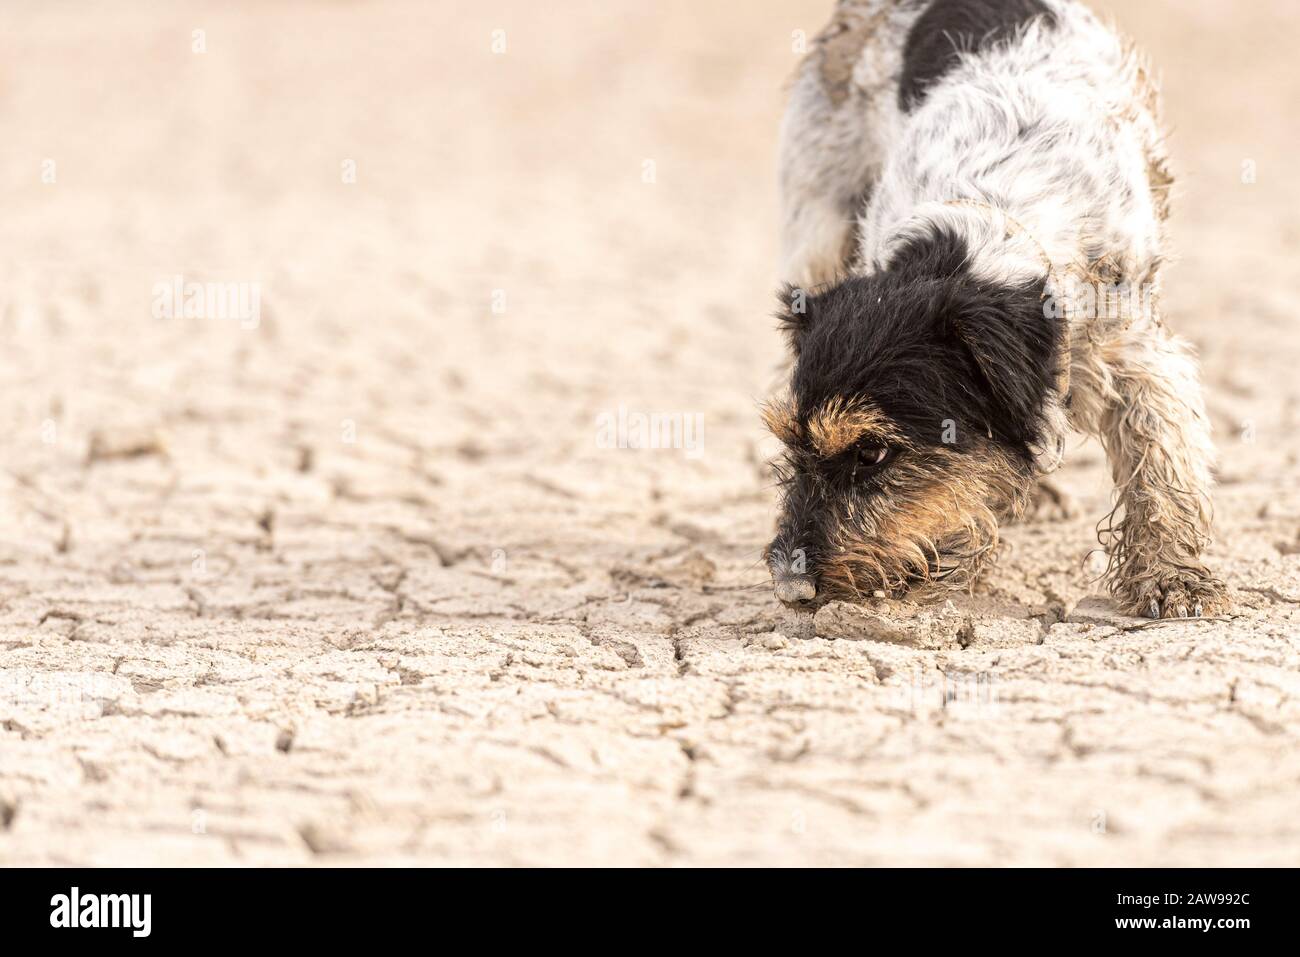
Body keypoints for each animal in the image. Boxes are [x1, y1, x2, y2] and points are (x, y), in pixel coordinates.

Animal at [759, 0, 1222, 621]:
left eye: (874, 452)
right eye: (791, 442)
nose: (792, 589)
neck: (982, 227)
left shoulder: (1136, 353)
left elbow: (1163, 462)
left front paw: (1173, 577)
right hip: (818, 229)